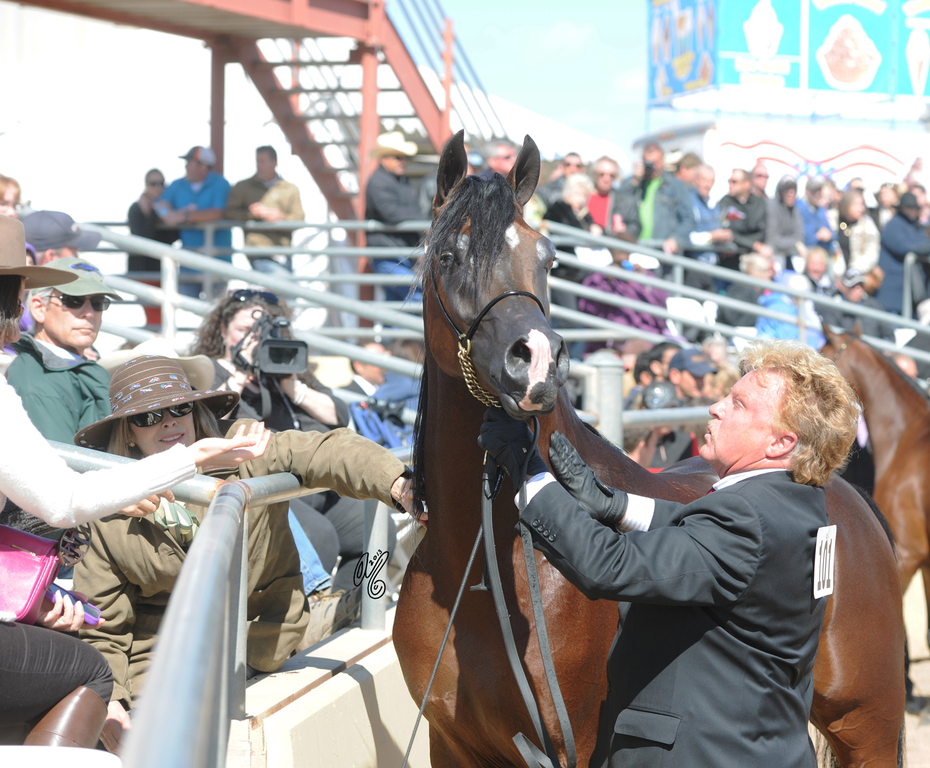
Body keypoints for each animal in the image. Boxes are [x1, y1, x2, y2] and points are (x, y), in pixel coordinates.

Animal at [393, 131, 905, 768]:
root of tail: (849, 500)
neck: (480, 571)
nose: (535, 361)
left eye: (548, 259)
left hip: (869, 728)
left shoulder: (579, 747)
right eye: (447, 257)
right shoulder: (452, 745)